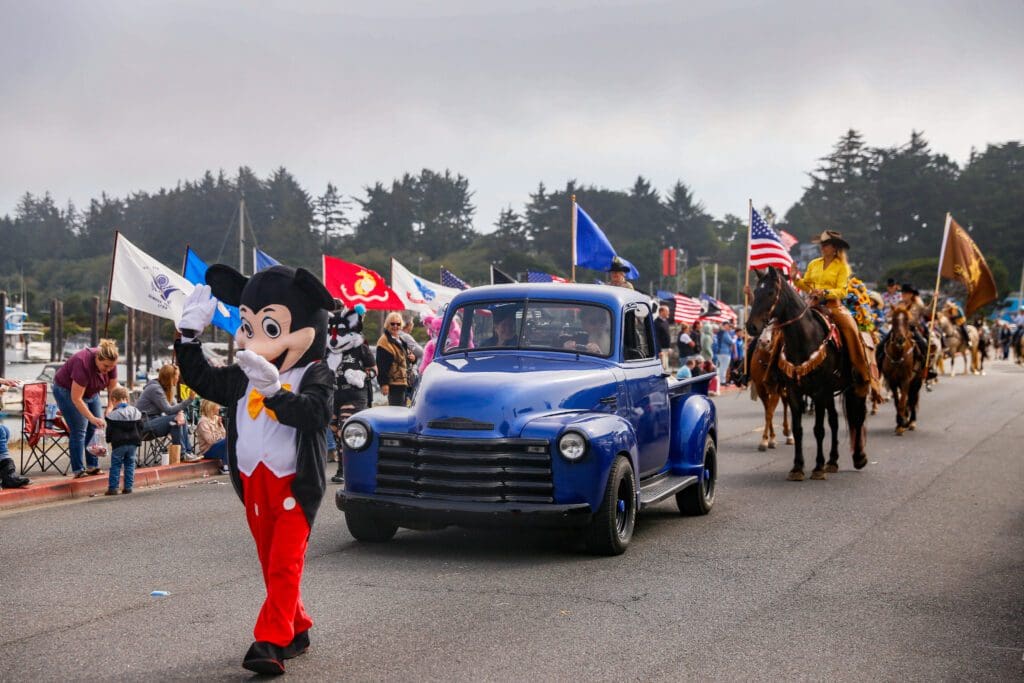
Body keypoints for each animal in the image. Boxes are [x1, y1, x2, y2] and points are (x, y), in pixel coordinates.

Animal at [745, 266, 864, 481]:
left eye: (770, 293)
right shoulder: (793, 391)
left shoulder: (819, 392)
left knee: (855, 418)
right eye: (755, 292)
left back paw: (858, 458)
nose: (752, 326)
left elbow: (818, 430)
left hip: (850, 387)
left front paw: (817, 467)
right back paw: (832, 461)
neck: (804, 340)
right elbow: (798, 428)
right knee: (834, 420)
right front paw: (797, 467)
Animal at [876, 307, 925, 436]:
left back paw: (911, 422)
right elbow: (897, 402)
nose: (900, 339)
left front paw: (902, 425)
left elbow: (903, 402)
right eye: (893, 319)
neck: (898, 355)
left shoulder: (905, 380)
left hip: (917, 381)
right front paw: (899, 422)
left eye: (907, 319)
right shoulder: (893, 381)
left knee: (912, 399)